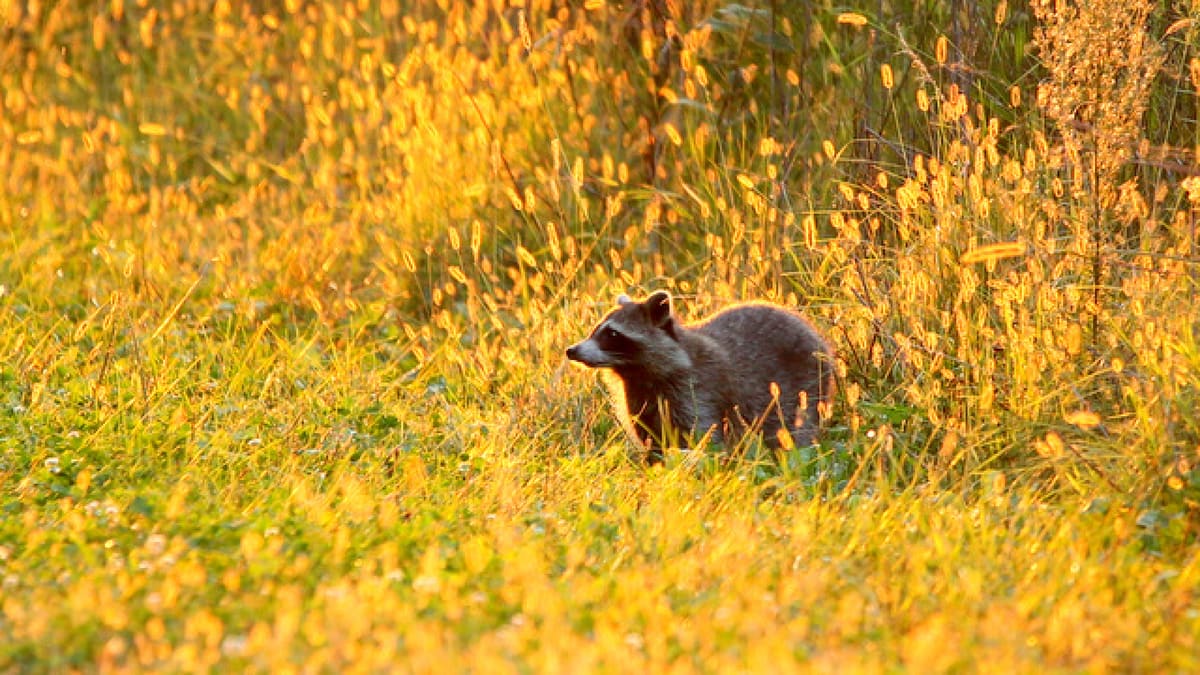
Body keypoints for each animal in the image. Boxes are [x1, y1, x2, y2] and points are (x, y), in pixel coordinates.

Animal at [566, 291, 834, 461]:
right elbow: (651, 440)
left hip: (806, 384)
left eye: (612, 334)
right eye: (595, 329)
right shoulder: (639, 399)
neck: (637, 374)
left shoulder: (698, 388)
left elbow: (703, 437)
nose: (572, 350)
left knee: (795, 427)